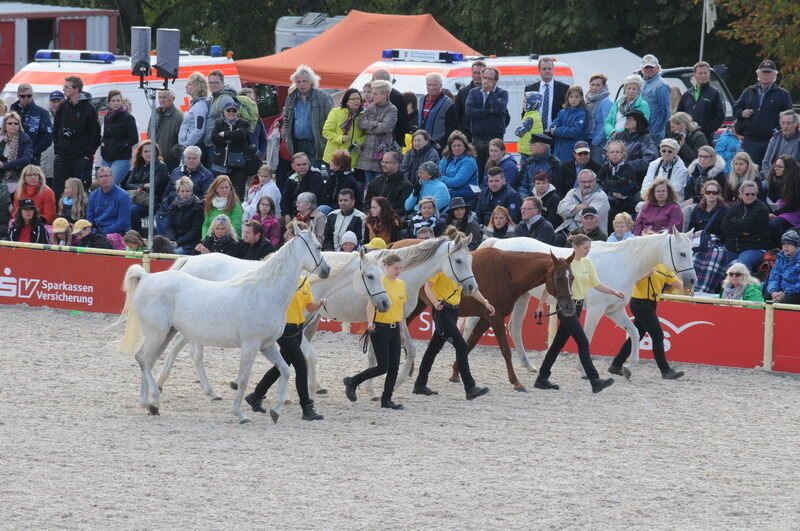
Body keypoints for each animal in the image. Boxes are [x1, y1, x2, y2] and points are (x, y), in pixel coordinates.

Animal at [118, 223, 328, 424]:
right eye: (318, 247)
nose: (326, 270)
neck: (265, 292)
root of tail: (146, 278)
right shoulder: (250, 345)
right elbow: (243, 380)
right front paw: (240, 414)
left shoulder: (267, 346)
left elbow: (284, 371)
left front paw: (275, 411)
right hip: (157, 335)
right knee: (143, 359)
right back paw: (154, 398)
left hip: (166, 335)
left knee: (148, 361)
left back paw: (149, 405)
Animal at [155, 249, 390, 400]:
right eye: (370, 276)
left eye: (382, 274)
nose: (385, 303)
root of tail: (189, 262)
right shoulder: (290, 332)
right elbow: (309, 357)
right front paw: (308, 391)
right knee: (190, 351)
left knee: (180, 347)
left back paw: (169, 384)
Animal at [300, 234, 476, 400]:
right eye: (459, 260)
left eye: (471, 259)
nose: (472, 287)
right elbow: (374, 358)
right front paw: (372, 391)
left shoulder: (400, 319)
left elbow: (410, 350)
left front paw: (395, 384)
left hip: (313, 319)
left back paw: (317, 386)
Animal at [390, 240, 572, 390]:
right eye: (559, 278)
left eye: (572, 278)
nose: (569, 306)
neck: (507, 272)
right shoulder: (495, 318)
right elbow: (505, 350)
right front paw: (516, 381)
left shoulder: (486, 317)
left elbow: (470, 344)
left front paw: (455, 373)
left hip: (418, 304)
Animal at [478, 231, 696, 376]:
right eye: (682, 253)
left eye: (692, 252)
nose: (692, 280)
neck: (620, 264)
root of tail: (498, 242)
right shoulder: (597, 310)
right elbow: (588, 335)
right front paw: (582, 369)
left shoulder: (614, 310)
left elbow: (634, 332)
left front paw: (629, 367)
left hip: (522, 298)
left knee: (514, 328)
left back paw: (528, 365)